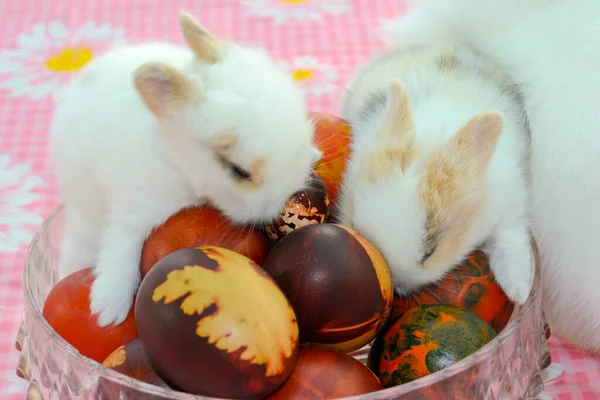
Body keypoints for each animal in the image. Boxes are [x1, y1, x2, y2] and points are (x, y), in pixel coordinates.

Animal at [50, 12, 324, 326]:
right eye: (238, 171)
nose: (273, 210)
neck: (180, 165)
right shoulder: (134, 207)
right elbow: (121, 246)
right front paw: (108, 309)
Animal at [340, 45, 532, 306]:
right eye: (355, 227)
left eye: (430, 252)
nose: (397, 286)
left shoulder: (511, 206)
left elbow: (510, 240)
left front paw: (519, 292)